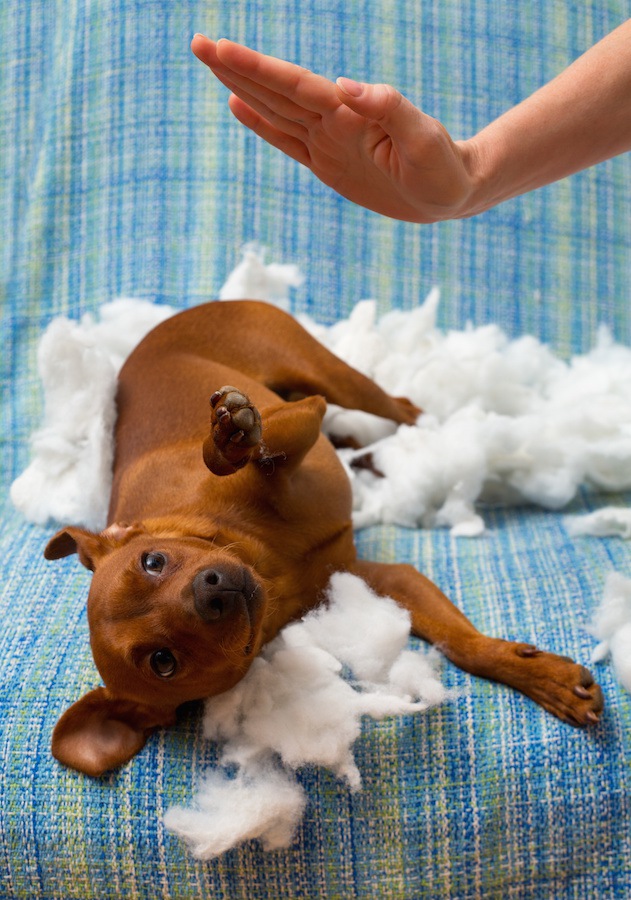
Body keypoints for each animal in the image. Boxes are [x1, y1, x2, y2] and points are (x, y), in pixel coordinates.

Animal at [44, 300, 604, 772]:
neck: (271, 566)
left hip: (327, 375)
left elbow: (241, 453)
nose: (211, 590)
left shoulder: (295, 424)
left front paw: (227, 441)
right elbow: (457, 644)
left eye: (154, 561)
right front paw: (544, 678)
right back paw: (372, 455)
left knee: (398, 404)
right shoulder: (379, 580)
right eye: (163, 662)